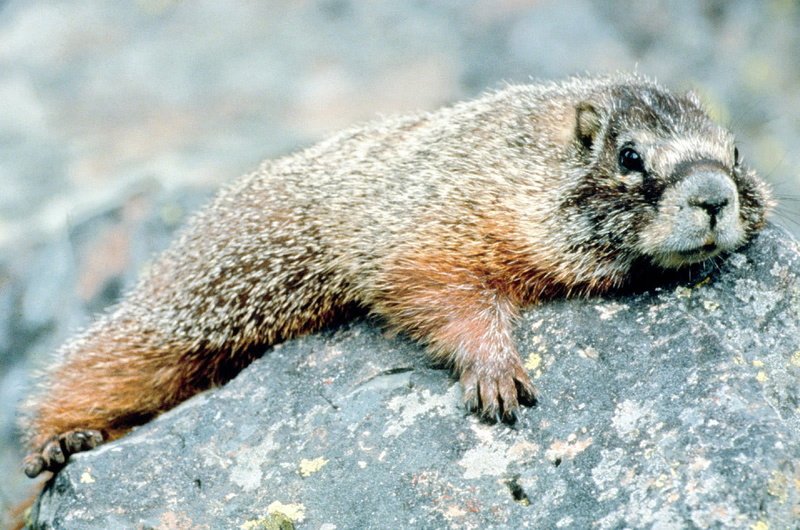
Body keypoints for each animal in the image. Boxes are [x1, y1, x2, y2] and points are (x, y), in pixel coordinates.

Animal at [20, 73, 771, 478]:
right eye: (630, 156)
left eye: (735, 153)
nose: (714, 196)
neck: (530, 160)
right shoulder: (449, 207)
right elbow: (428, 277)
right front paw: (496, 372)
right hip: (200, 300)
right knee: (107, 358)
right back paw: (61, 440)